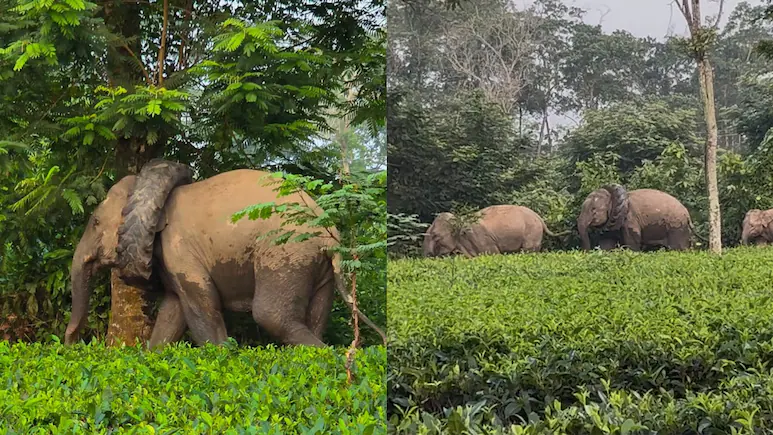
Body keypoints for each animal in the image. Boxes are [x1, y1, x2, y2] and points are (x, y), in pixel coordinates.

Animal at [64, 159, 385, 348]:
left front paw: (220, 354)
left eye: (95, 223)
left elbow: (202, 304)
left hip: (286, 253)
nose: (71, 344)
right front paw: (153, 355)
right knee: (316, 315)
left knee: (270, 315)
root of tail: (329, 231)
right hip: (318, 267)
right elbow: (173, 310)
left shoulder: (180, 250)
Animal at [422, 205, 568, 258]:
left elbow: (493, 254)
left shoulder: (481, 237)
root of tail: (539, 217)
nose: (428, 255)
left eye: (435, 236)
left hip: (532, 231)